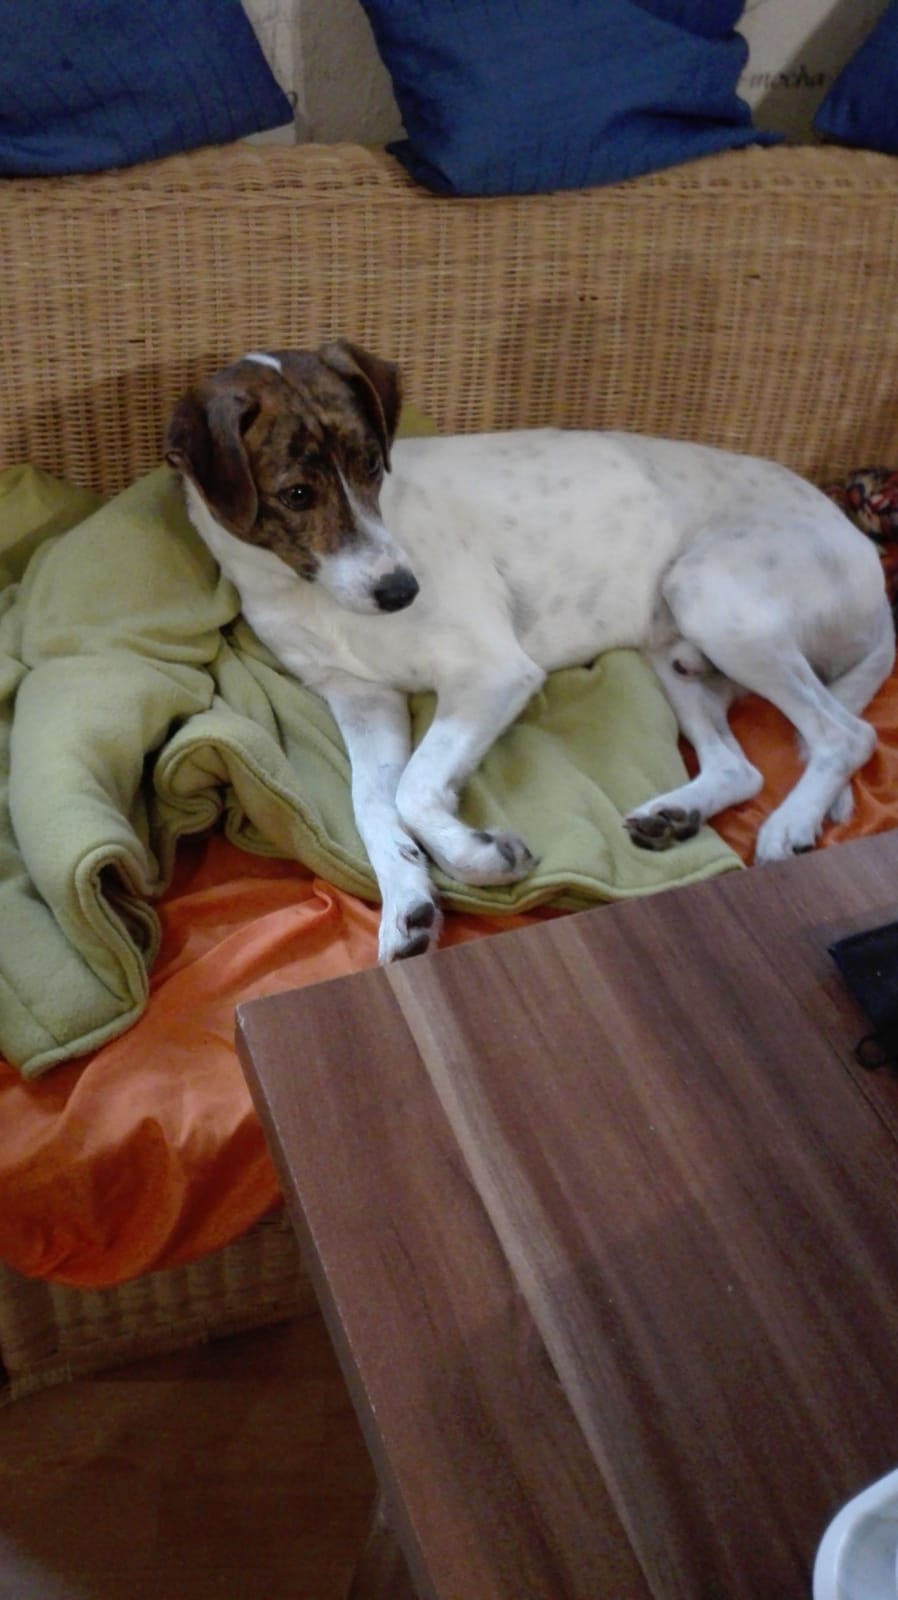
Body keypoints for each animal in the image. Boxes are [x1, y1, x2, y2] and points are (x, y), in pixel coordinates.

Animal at [165, 340, 894, 961]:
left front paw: (479, 857)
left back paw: (788, 825)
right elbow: (371, 804)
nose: (403, 590)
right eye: (295, 493)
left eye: (372, 464)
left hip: (712, 595)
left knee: (845, 734)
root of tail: (871, 569)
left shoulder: (493, 674)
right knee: (741, 766)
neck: (308, 595)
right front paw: (407, 904)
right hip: (675, 652)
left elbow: (413, 788)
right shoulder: (363, 700)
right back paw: (675, 815)